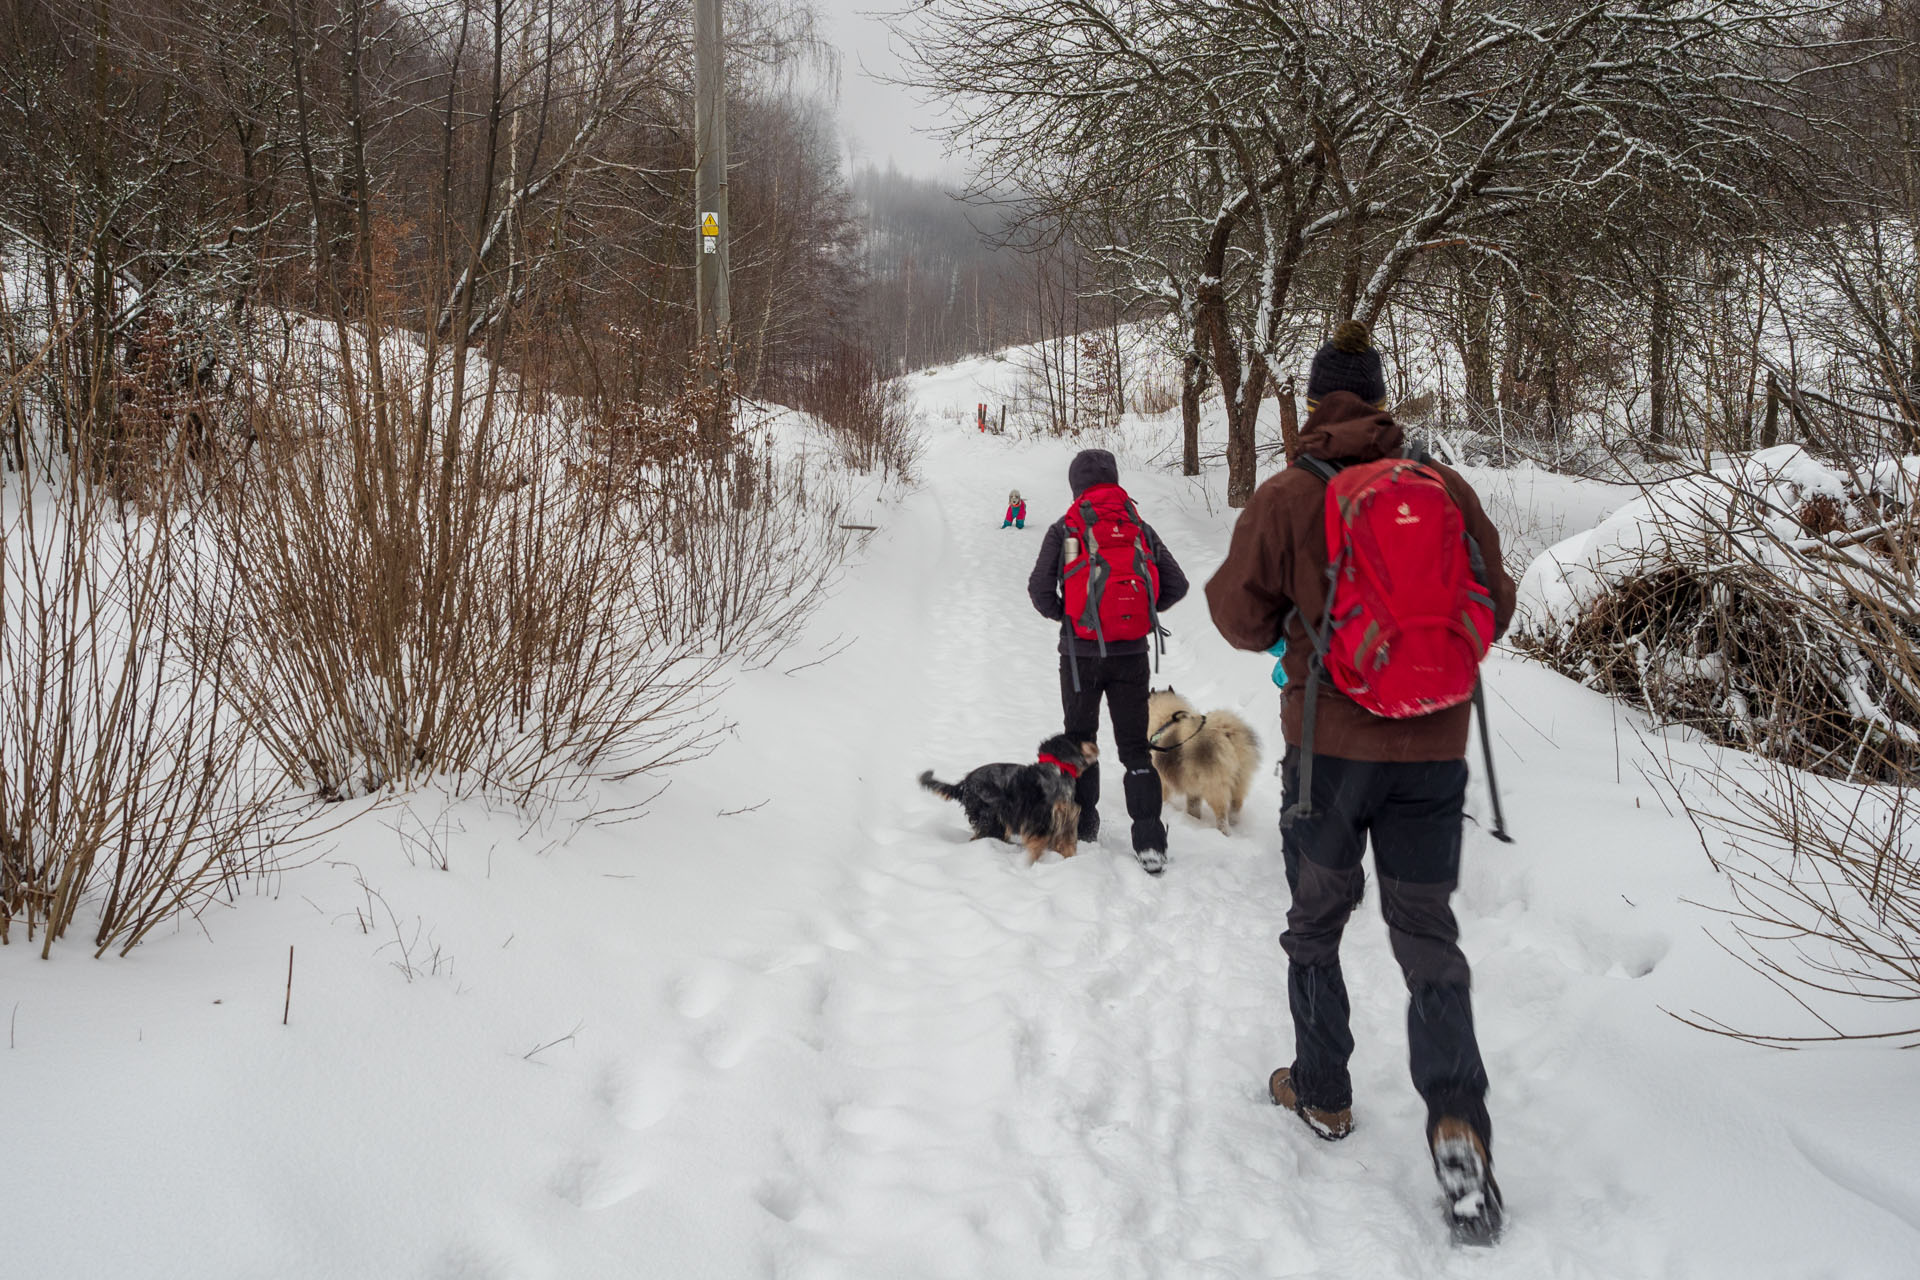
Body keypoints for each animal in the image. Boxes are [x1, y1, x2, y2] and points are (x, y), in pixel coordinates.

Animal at [921, 736, 1105, 867]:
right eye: (1078, 740)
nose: (1095, 745)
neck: (1058, 773)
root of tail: (963, 784)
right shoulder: (1040, 820)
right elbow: (1037, 846)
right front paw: (1029, 864)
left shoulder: (1067, 820)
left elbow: (1067, 845)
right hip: (989, 816)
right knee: (980, 836)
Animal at [1144, 690, 1267, 832]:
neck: (1166, 720)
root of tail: (1226, 732)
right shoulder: (1193, 789)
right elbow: (1193, 807)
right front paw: (1193, 818)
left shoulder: (1163, 781)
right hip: (1240, 780)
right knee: (1236, 805)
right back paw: (1234, 823)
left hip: (1214, 786)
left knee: (1221, 815)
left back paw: (1224, 831)